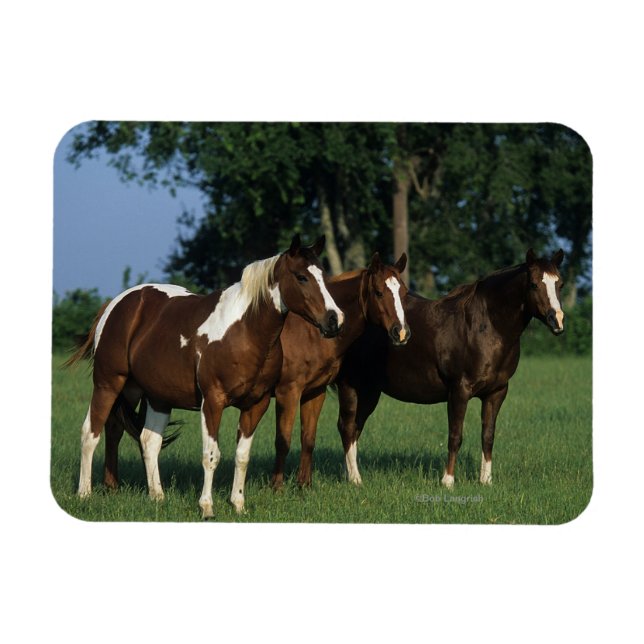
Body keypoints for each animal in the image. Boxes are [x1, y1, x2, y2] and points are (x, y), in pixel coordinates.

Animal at [66, 234, 345, 518]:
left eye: (323, 275)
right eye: (301, 277)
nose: (335, 319)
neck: (244, 330)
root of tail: (115, 305)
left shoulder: (256, 404)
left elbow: (242, 456)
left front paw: (238, 504)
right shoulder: (212, 402)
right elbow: (211, 455)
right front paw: (207, 507)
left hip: (152, 395)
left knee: (142, 438)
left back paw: (152, 495)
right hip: (109, 384)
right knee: (91, 433)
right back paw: (85, 493)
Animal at [237, 252, 410, 498]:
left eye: (403, 293)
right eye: (378, 292)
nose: (401, 332)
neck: (310, 333)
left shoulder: (314, 392)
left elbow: (308, 439)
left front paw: (304, 485)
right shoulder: (288, 393)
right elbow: (283, 440)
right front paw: (276, 487)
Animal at [334, 248, 566, 488]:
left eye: (560, 284)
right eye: (534, 284)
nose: (557, 320)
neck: (485, 326)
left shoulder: (496, 392)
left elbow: (488, 436)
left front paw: (486, 480)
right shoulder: (459, 390)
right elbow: (455, 436)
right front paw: (448, 481)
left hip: (369, 391)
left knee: (355, 428)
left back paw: (350, 474)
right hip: (350, 386)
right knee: (347, 427)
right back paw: (355, 478)